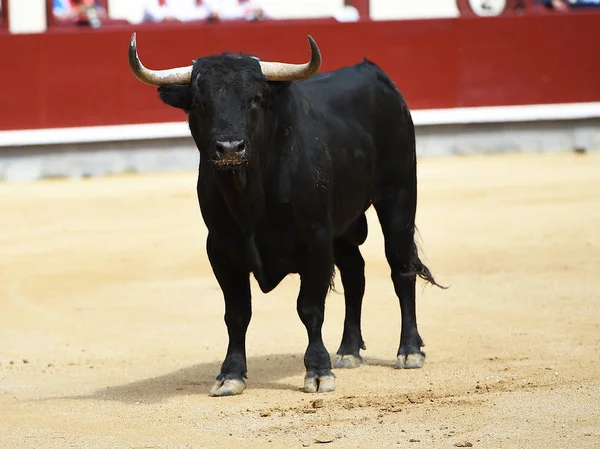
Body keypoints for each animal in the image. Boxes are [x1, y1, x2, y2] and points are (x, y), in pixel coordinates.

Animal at [129, 34, 442, 396]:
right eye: (199, 103)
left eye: (255, 98)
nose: (230, 148)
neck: (249, 195)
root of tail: (374, 74)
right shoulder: (221, 250)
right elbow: (237, 313)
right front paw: (230, 374)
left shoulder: (315, 240)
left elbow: (310, 307)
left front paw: (318, 371)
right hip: (342, 227)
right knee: (355, 274)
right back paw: (348, 351)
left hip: (399, 196)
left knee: (401, 269)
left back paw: (409, 350)